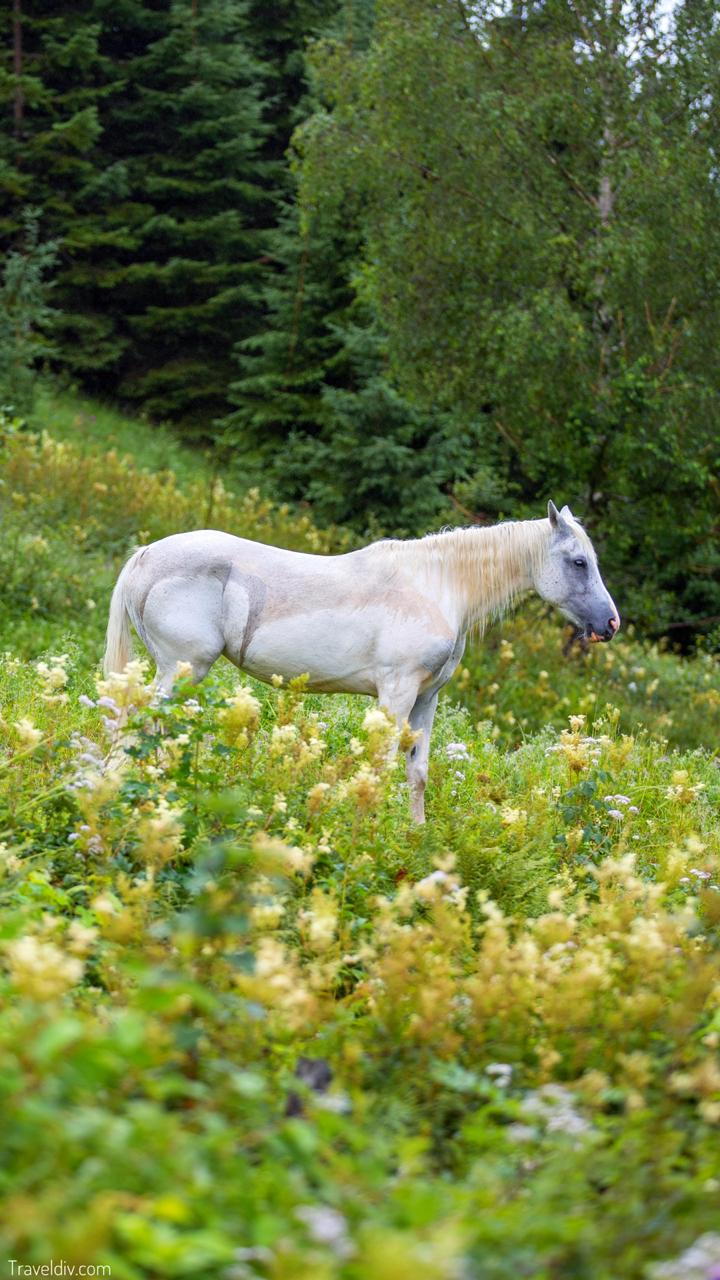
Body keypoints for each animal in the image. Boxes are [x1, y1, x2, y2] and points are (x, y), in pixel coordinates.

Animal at [105, 499, 617, 819]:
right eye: (578, 562)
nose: (610, 624)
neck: (437, 588)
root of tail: (145, 556)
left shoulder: (426, 699)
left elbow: (417, 773)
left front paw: (414, 837)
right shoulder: (396, 692)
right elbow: (380, 766)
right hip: (183, 668)